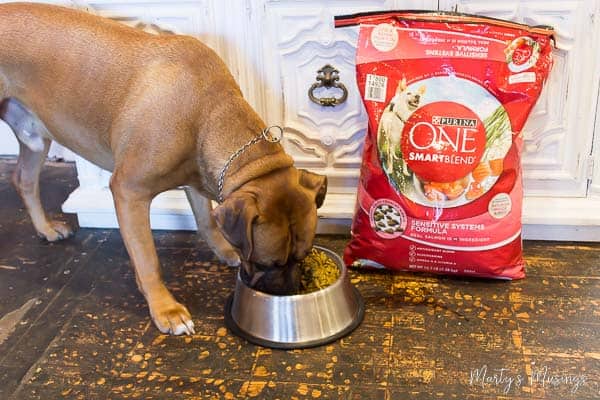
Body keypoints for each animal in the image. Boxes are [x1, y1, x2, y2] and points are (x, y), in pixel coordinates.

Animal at [1, 3, 328, 334]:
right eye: (265, 263)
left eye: (303, 256)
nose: (290, 292)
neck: (209, 113)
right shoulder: (129, 192)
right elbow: (147, 259)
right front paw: (165, 308)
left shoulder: (198, 178)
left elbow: (207, 220)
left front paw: (224, 250)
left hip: (35, 139)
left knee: (24, 180)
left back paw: (45, 228)